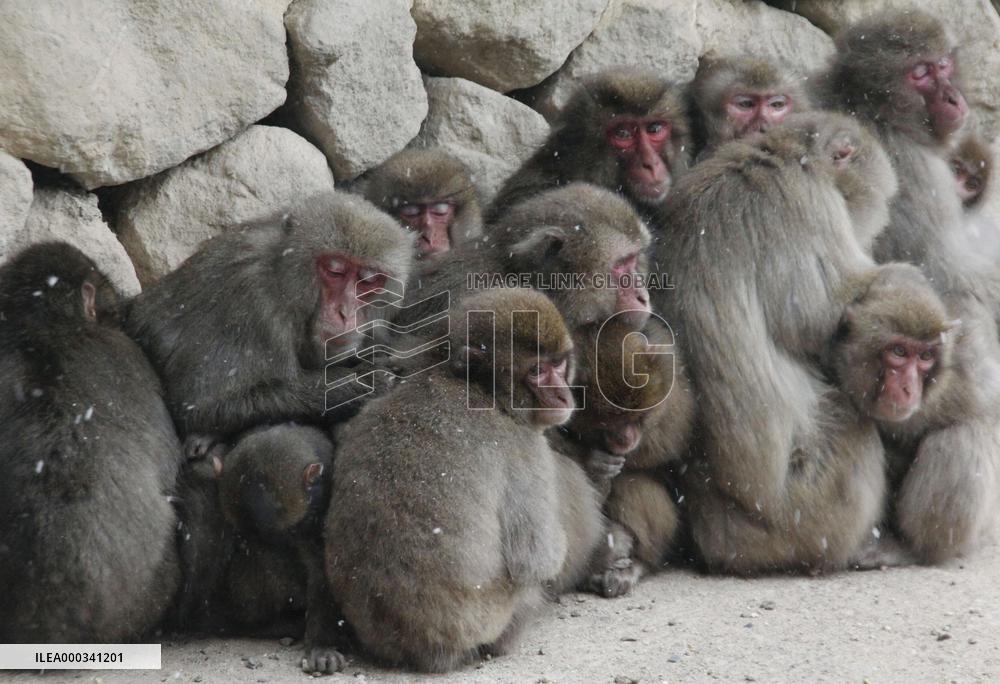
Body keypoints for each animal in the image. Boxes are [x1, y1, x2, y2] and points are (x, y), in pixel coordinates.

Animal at [124, 191, 414, 460]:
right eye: (335, 271)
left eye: (369, 281)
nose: (345, 313)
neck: (282, 279)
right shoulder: (250, 303)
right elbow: (202, 405)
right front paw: (363, 383)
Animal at [172, 424, 347, 673]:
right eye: (242, 535)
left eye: (285, 534)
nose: (256, 543)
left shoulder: (310, 521)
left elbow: (320, 570)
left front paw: (320, 645)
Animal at [325, 288, 577, 672]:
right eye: (538, 371)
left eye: (559, 365)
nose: (563, 394)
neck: (481, 390)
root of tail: (420, 650)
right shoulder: (525, 450)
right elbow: (533, 558)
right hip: (490, 616)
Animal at [827, 264, 1000, 564]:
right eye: (898, 351)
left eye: (925, 356)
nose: (909, 388)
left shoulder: (968, 373)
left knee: (958, 439)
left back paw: (913, 548)